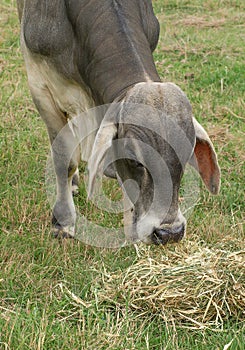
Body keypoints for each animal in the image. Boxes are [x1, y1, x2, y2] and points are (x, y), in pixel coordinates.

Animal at [17, 0, 220, 245]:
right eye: (135, 160)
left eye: (187, 153)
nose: (169, 232)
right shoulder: (41, 86)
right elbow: (64, 161)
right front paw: (63, 222)